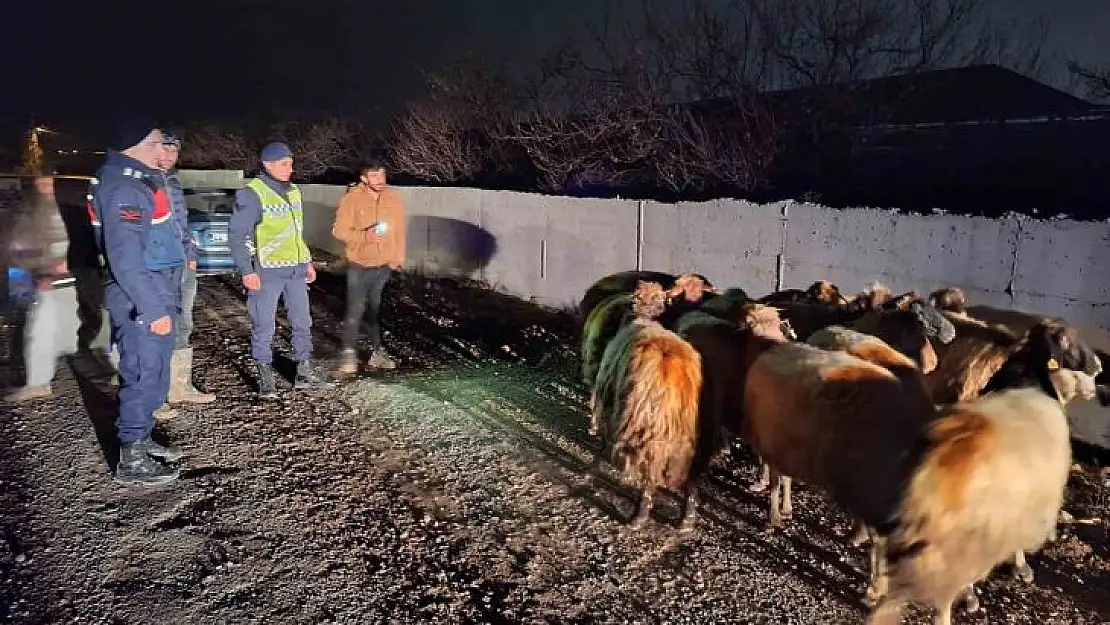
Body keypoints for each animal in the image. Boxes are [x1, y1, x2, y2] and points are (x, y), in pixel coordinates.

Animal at [590, 297, 701, 528]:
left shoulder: (613, 403)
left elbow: (605, 440)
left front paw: (591, 470)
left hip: (645, 421)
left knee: (650, 469)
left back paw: (638, 517)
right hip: (682, 429)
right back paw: (687, 520)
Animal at [865, 319, 1101, 621]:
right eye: (1065, 340)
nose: (1098, 369)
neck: (1026, 379)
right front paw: (1018, 569)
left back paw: (875, 590)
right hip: (962, 541)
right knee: (942, 589)